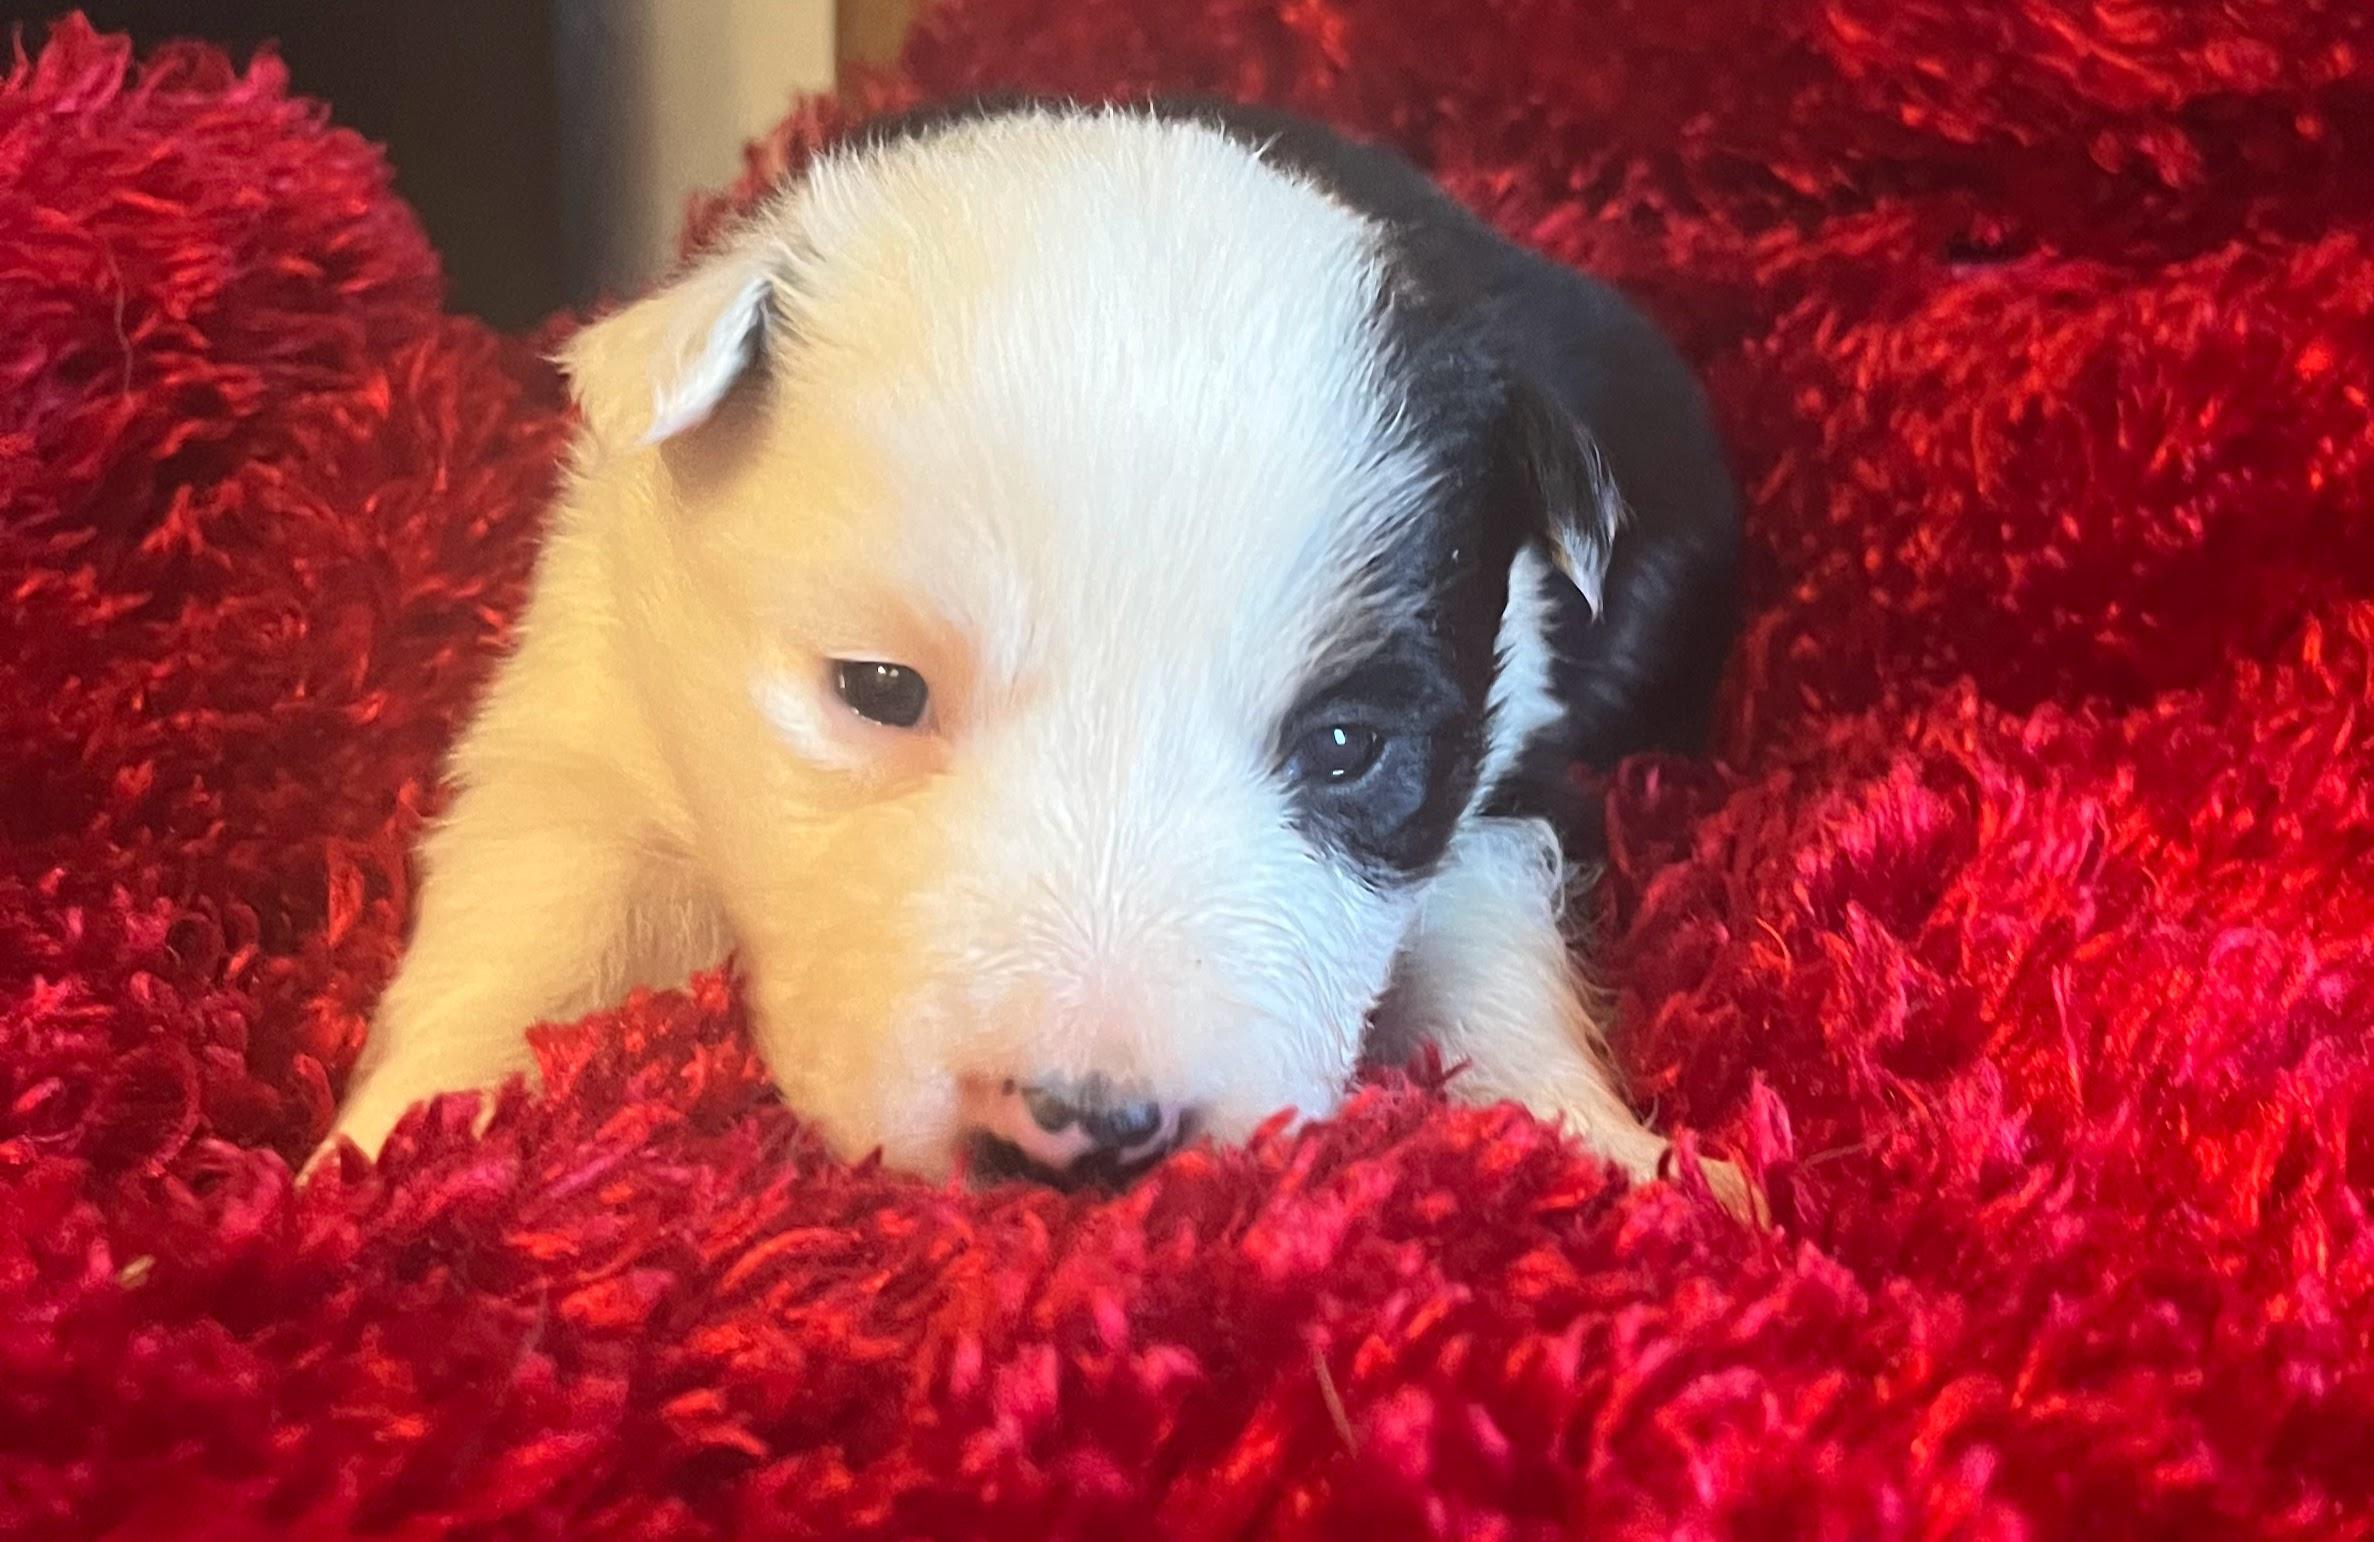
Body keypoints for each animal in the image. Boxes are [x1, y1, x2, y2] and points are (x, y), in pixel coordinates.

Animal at [325, 95, 1742, 1199]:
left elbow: (1496, 964)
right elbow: (531, 919)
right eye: (879, 688)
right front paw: (388, 1144)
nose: (1088, 1131)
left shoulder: (1503, 760)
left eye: (1347, 745)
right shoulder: (598, 698)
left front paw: (1608, 1151)